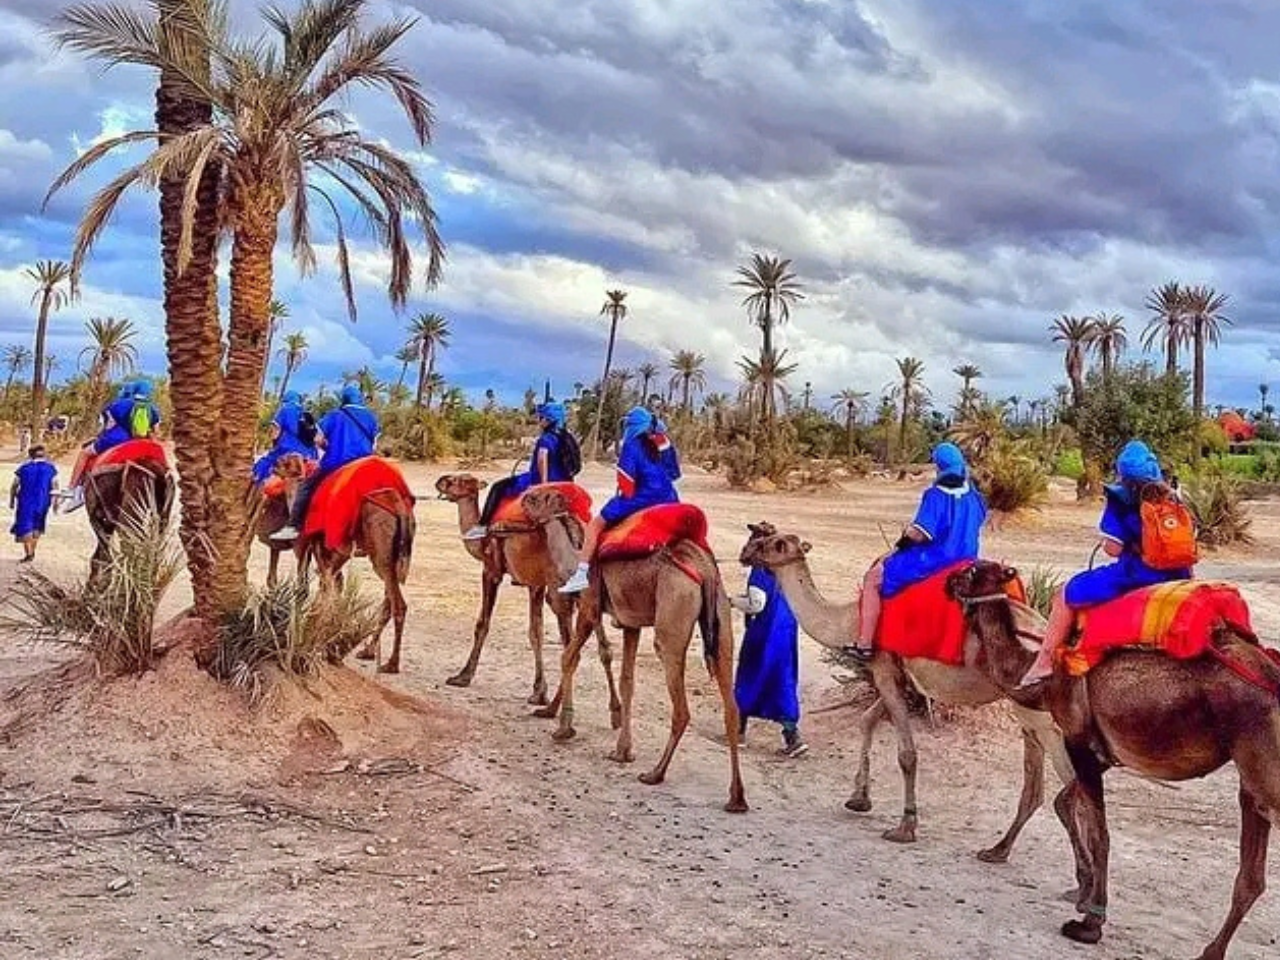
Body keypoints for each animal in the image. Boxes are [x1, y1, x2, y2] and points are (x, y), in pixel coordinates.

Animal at [277, 453, 417, 670]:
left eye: (285, 461)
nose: (273, 465)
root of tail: (400, 507)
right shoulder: (336, 557)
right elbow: (335, 590)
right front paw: (326, 640)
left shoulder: (309, 549)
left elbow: (309, 590)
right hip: (395, 553)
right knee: (388, 599)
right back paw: (368, 652)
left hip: (379, 545)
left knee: (398, 604)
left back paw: (391, 664)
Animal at [435, 473, 619, 716]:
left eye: (458, 481)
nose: (440, 480)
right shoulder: (536, 584)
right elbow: (536, 632)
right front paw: (538, 692)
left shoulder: (491, 570)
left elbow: (483, 624)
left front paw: (462, 676)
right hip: (586, 589)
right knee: (600, 644)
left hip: (559, 589)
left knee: (571, 646)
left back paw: (555, 710)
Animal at [522, 488, 747, 814]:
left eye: (536, 498)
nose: (522, 499)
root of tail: (704, 569)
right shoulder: (631, 624)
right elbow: (627, 681)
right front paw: (622, 751)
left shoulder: (589, 606)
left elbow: (569, 657)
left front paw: (563, 728)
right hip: (722, 618)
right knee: (731, 707)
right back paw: (736, 798)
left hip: (673, 615)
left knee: (681, 707)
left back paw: (655, 773)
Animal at [737, 529, 1075, 860]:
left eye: (775, 544)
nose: (746, 550)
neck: (850, 620)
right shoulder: (897, 674)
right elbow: (867, 719)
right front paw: (859, 798)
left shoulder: (883, 667)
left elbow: (906, 754)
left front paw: (905, 827)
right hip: (1026, 711)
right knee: (1035, 784)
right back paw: (997, 850)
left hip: (1036, 710)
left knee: (1070, 778)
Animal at [952, 560, 1280, 957]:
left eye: (971, 572)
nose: (948, 580)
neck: (1041, 681)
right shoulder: (1100, 751)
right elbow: (1066, 802)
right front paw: (1072, 887)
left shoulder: (1078, 740)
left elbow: (1100, 834)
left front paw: (1090, 922)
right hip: (1252, 778)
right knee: (1252, 875)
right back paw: (1211, 951)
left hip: (1265, 765)